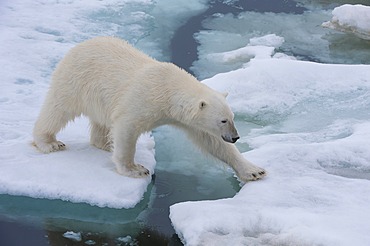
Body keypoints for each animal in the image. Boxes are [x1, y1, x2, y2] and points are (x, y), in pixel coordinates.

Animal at [33, 37, 266, 183]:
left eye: (232, 117)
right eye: (223, 120)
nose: (235, 137)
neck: (168, 88)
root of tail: (80, 45)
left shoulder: (187, 120)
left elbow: (212, 142)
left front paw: (254, 171)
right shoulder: (141, 100)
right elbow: (126, 128)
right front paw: (135, 169)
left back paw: (105, 143)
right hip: (76, 80)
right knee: (58, 109)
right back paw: (50, 142)